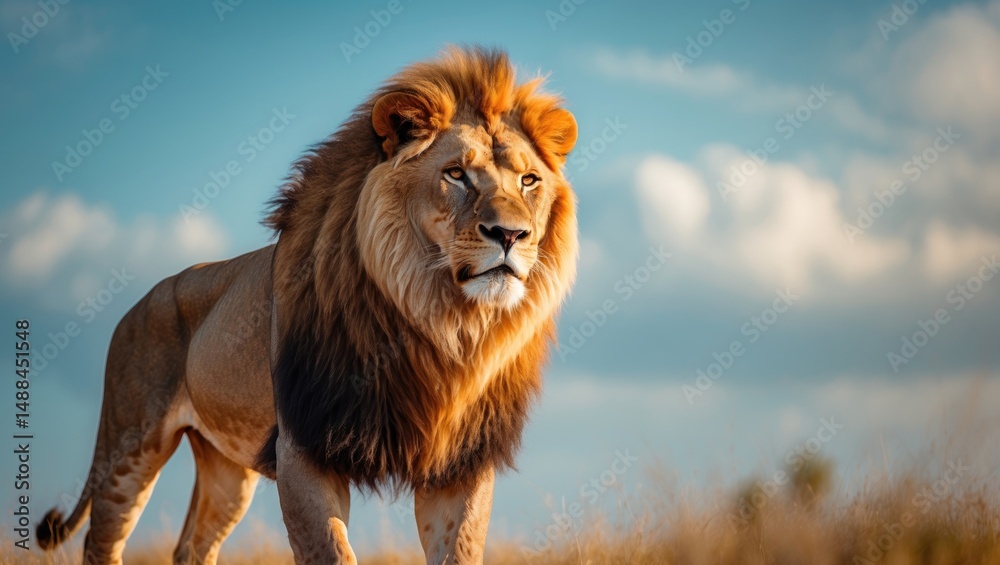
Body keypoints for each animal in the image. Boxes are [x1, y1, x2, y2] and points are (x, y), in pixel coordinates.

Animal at [36, 46, 578, 564]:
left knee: (192, 546)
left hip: (226, 467)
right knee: (101, 542)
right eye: (456, 174)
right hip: (129, 444)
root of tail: (137, 304)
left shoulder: (460, 462)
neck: (437, 320)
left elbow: (460, 551)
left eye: (529, 181)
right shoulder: (303, 446)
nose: (510, 235)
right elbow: (330, 551)